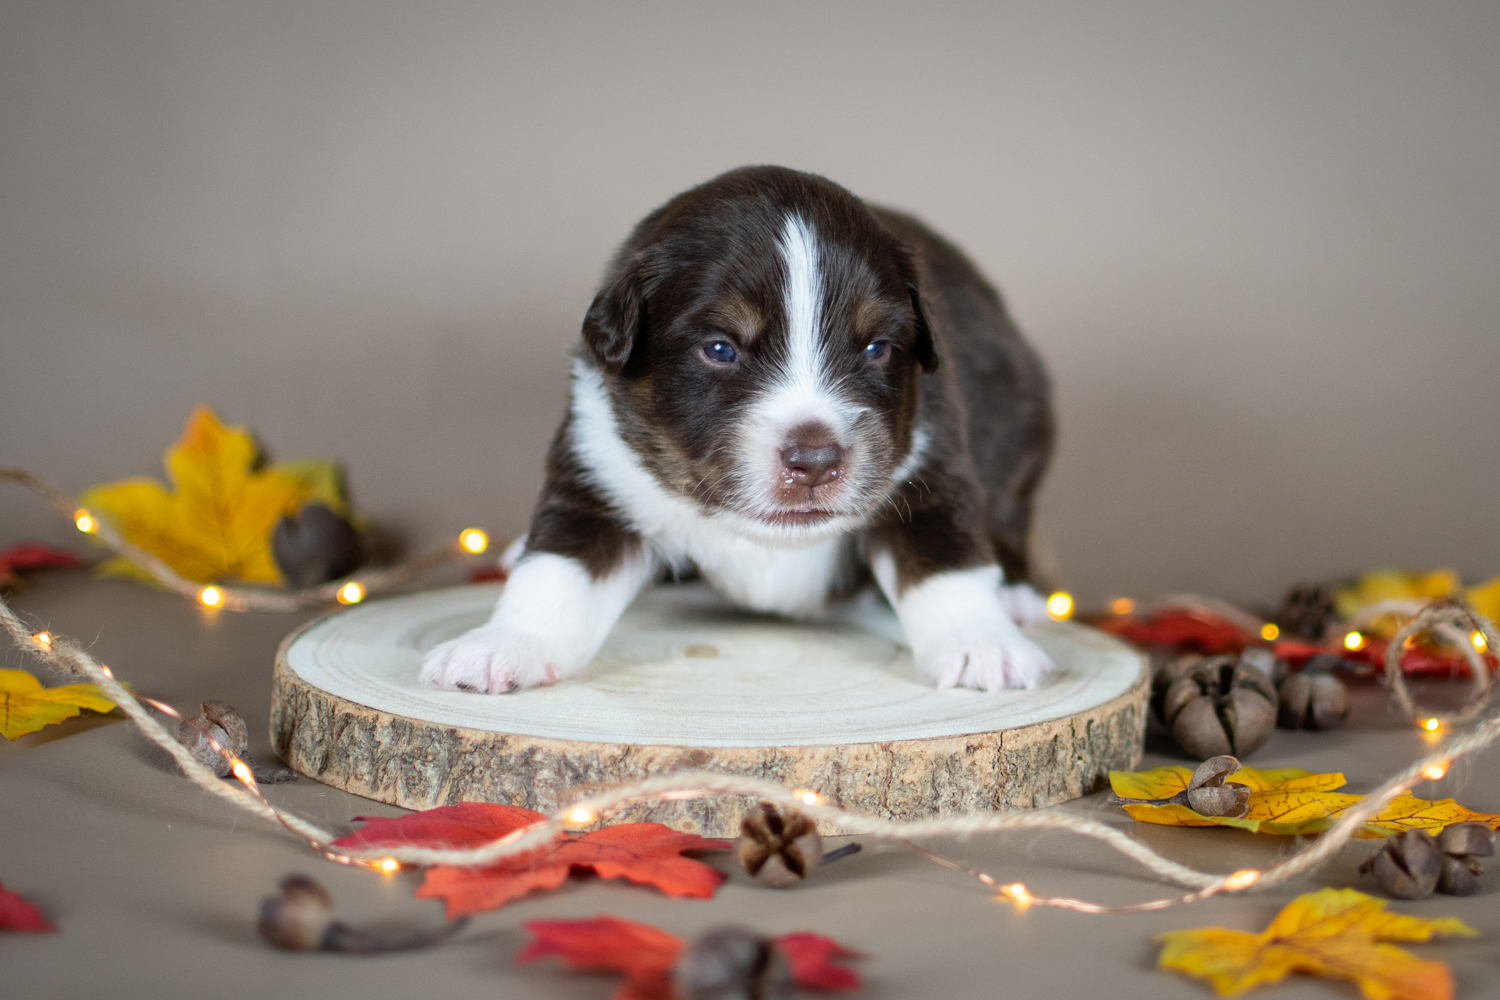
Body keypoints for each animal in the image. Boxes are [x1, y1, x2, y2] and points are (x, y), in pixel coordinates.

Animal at [423, 166, 1056, 695]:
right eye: (721, 349)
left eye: (876, 348)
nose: (815, 461)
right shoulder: (596, 469)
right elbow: (555, 572)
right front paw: (497, 648)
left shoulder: (929, 467)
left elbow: (948, 564)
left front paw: (984, 647)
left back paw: (1016, 596)